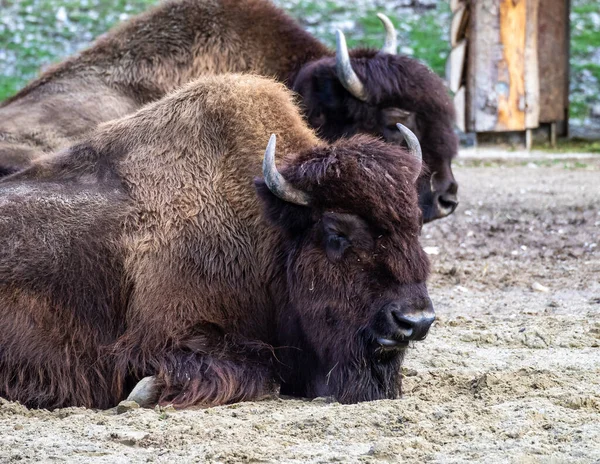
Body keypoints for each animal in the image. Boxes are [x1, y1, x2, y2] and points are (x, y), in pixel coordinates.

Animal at [0, 73, 434, 410]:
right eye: (336, 232)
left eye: (415, 225)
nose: (415, 321)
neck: (267, 229)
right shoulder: (163, 333)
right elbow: (262, 373)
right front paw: (142, 392)